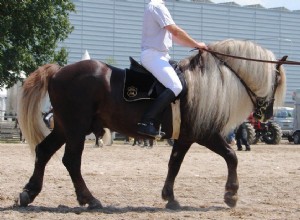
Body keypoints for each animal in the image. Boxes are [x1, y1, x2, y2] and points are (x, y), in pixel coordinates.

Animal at [17, 39, 286, 210]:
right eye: (276, 80)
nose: (267, 114)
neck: (208, 83)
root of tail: (58, 71)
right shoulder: (205, 134)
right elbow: (232, 156)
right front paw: (231, 194)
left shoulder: (185, 137)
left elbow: (174, 164)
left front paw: (170, 197)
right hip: (76, 128)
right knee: (71, 161)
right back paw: (89, 199)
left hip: (65, 128)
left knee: (44, 152)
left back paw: (29, 193)